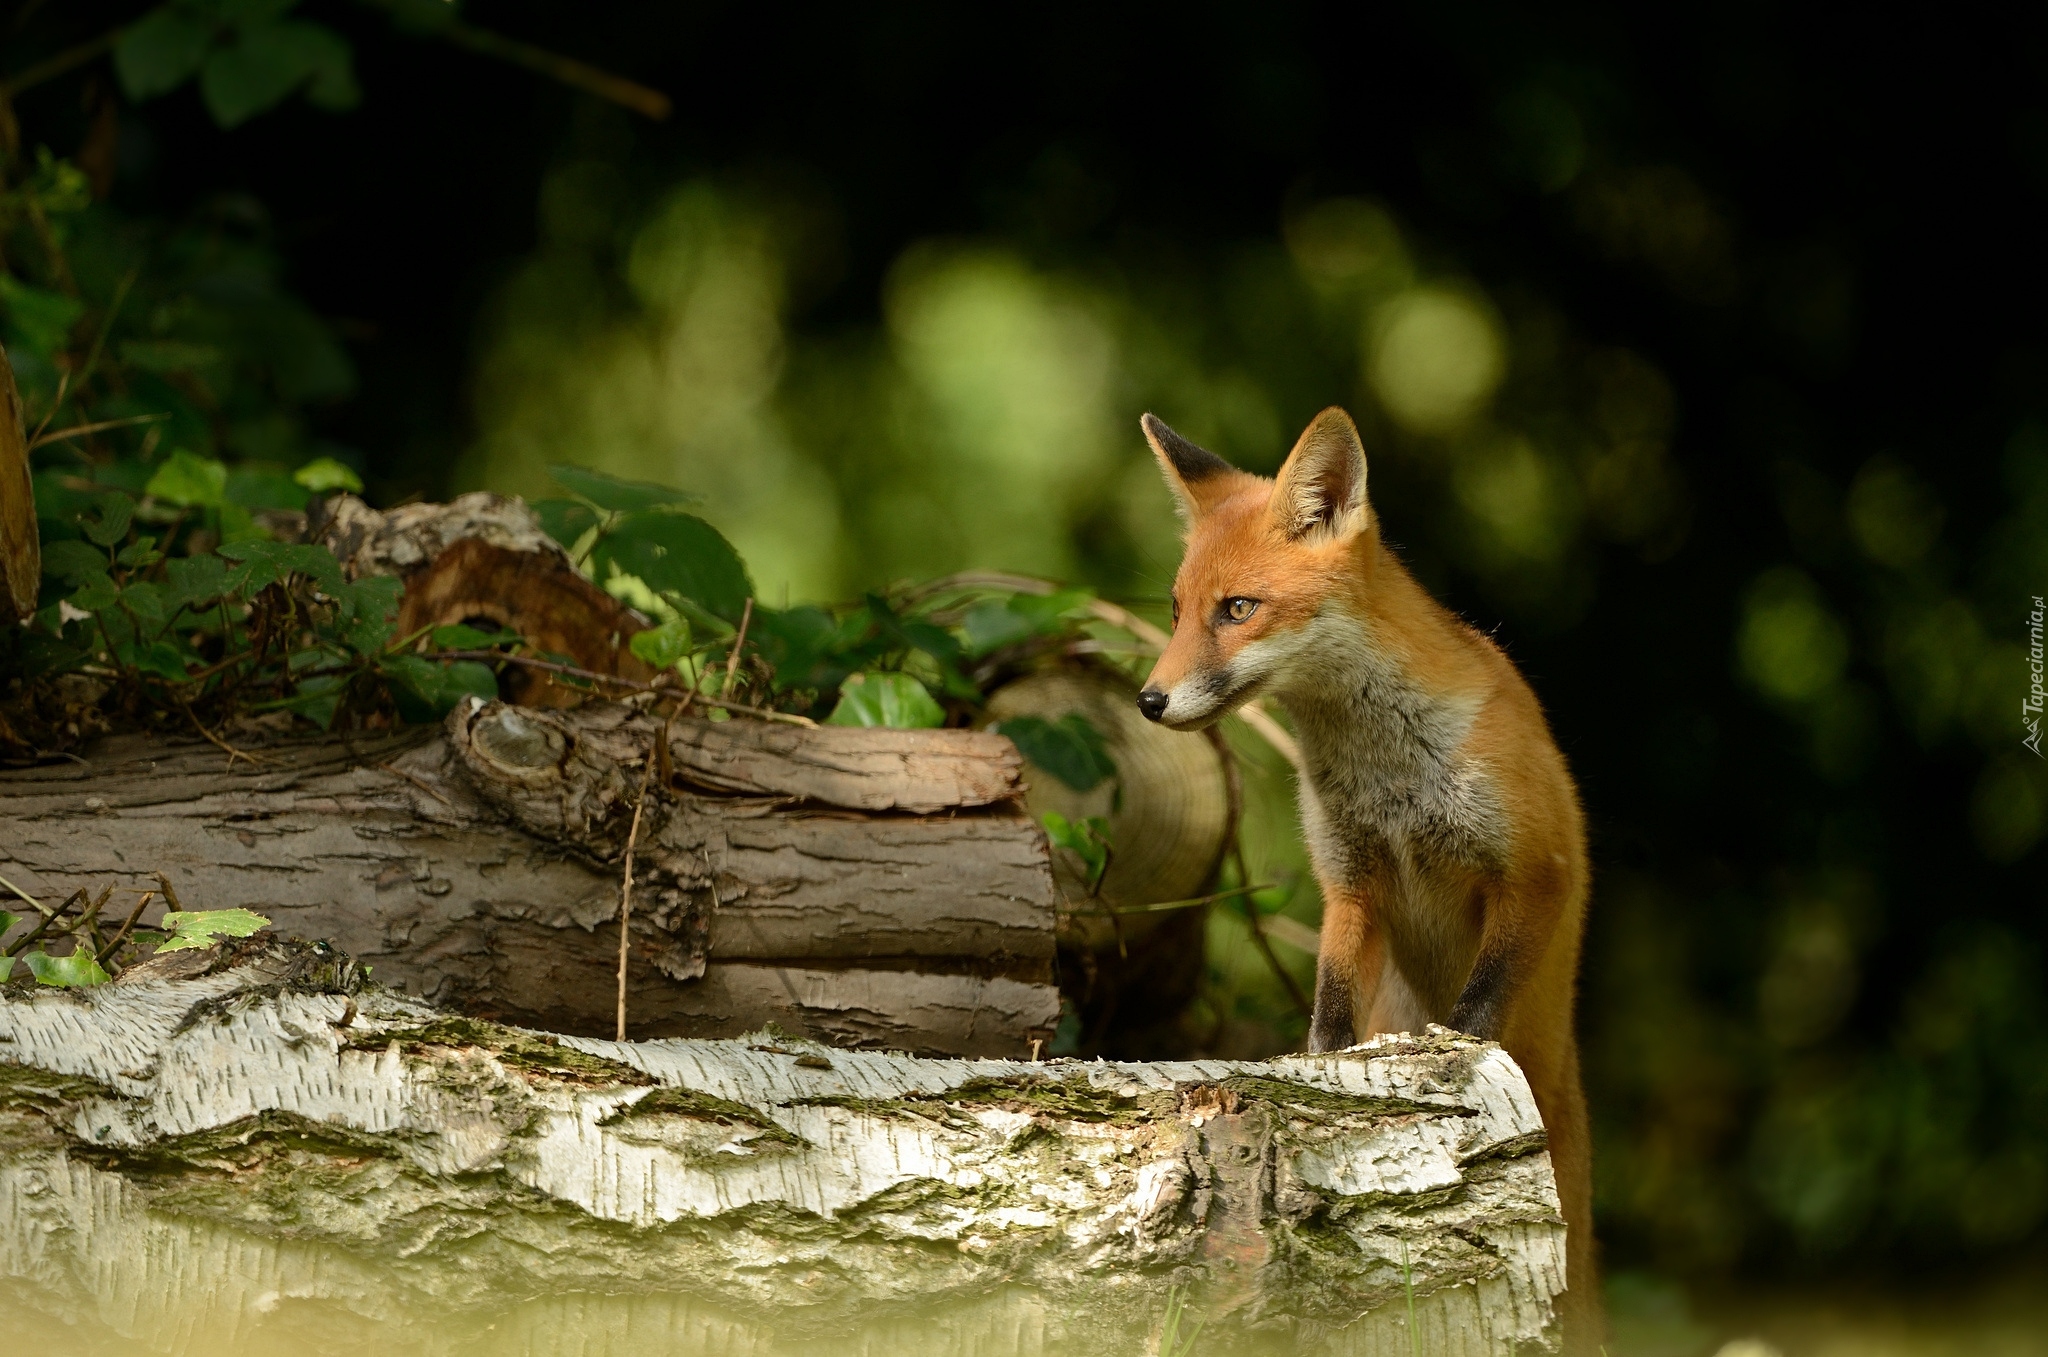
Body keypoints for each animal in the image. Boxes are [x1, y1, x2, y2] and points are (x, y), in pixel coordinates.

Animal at [1138, 409, 1597, 1350]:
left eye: (1238, 608)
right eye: (1176, 609)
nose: (1149, 700)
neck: (1387, 775)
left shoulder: (1534, 873)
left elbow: (1478, 1008)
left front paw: (1454, 1065)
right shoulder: (1352, 881)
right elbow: (1330, 1003)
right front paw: (1317, 1076)